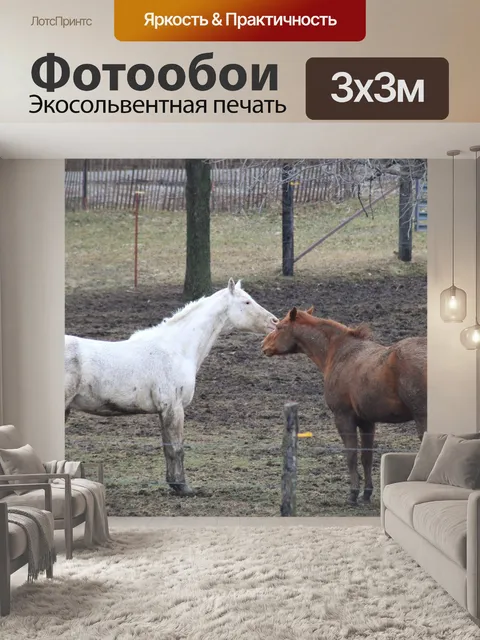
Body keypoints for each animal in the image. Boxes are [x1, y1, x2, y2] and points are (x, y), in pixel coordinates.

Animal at [65, 279, 278, 496]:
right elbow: (176, 448)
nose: (274, 322)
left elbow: (168, 447)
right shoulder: (173, 408)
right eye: (246, 302)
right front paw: (183, 487)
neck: (176, 350)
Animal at [262, 307, 427, 505]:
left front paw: (353, 494)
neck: (342, 353)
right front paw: (367, 493)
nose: (263, 345)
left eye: (279, 327)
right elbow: (366, 456)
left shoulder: (343, 417)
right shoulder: (366, 422)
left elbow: (351, 455)